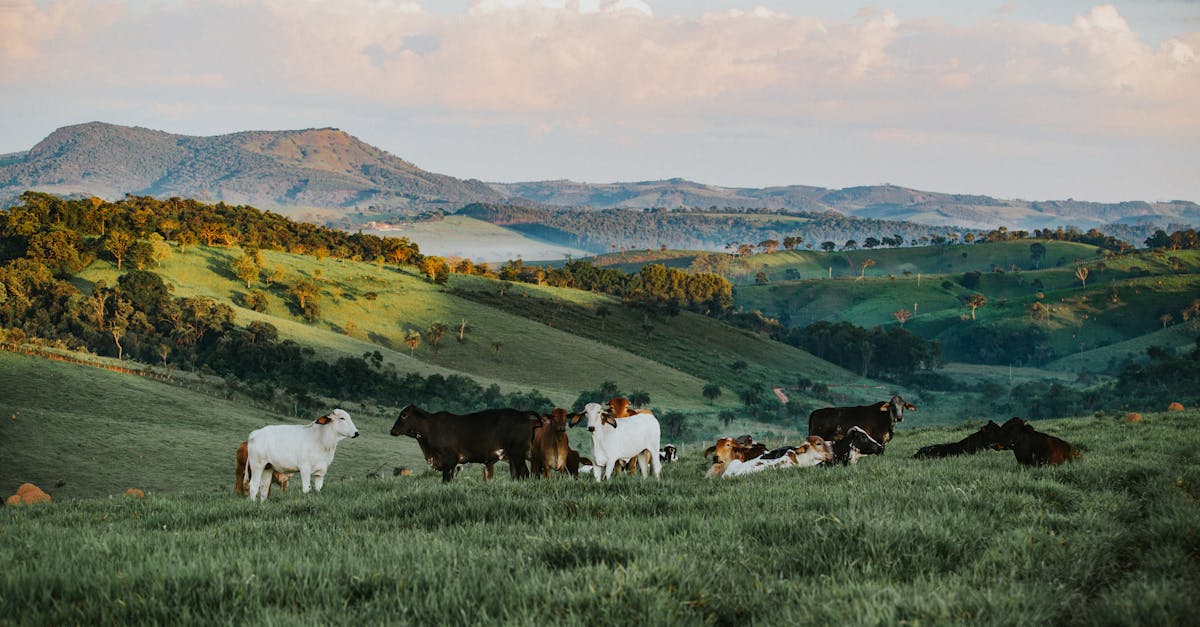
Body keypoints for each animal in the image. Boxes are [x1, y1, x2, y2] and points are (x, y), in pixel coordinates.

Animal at [388, 403, 540, 480]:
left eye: (404, 415)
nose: (392, 431)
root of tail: (522, 414)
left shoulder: (450, 460)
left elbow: (446, 479)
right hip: (513, 457)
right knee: (516, 475)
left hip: (517, 455)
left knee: (524, 473)